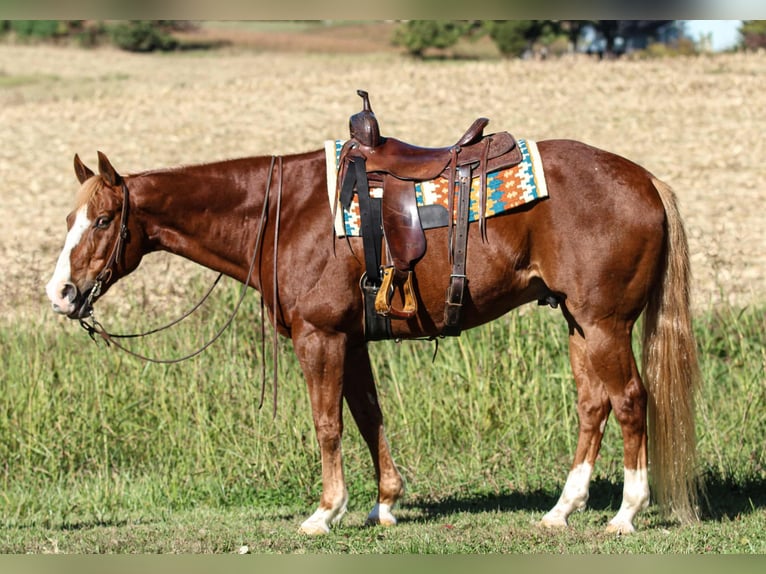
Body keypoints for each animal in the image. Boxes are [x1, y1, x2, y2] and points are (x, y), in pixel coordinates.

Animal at [45, 135, 702, 535]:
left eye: (103, 220)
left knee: (630, 400)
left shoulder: (320, 337)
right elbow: (368, 415)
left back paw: (627, 513)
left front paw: (325, 511)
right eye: (71, 217)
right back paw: (562, 510)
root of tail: (647, 180)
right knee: (593, 404)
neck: (284, 212)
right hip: (578, 321)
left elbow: (328, 423)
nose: (61, 293)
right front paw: (383, 503)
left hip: (605, 324)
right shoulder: (351, 338)